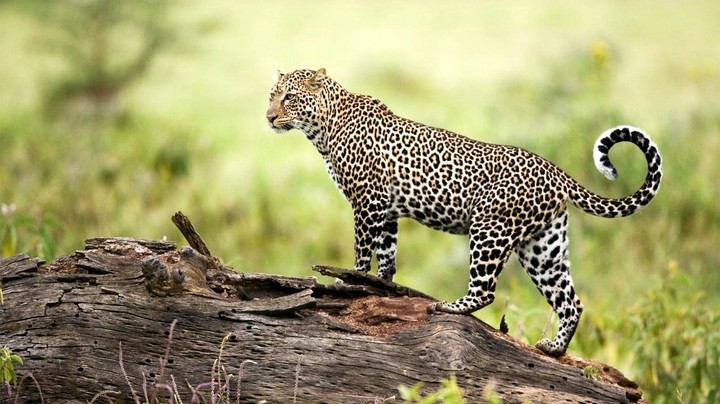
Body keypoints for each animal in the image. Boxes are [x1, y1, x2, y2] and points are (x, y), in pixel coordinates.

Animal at [265, 68, 662, 357]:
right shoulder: (387, 210)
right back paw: (553, 349)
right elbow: (388, 255)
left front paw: (347, 284)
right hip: (543, 248)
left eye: (290, 97)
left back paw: (449, 307)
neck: (323, 127)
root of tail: (555, 171)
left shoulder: (366, 202)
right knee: (571, 302)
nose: (269, 117)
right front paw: (382, 286)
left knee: (486, 291)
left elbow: (362, 252)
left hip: (490, 229)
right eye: (271, 95)